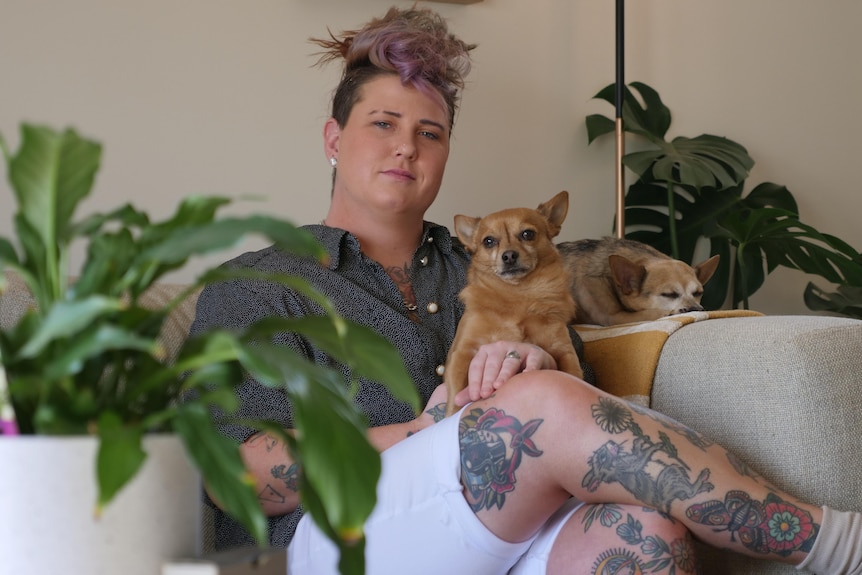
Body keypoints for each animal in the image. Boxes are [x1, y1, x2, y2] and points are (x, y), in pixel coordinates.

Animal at [448, 191, 584, 416]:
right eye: (489, 241)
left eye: (528, 234)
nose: (509, 255)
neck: (519, 294)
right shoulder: (462, 353)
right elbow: (456, 395)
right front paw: (451, 415)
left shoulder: (564, 350)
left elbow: (573, 374)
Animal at [556, 237, 720, 326]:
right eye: (669, 294)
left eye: (698, 293)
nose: (697, 309)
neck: (609, 275)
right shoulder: (614, 317)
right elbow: (655, 312)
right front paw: (669, 312)